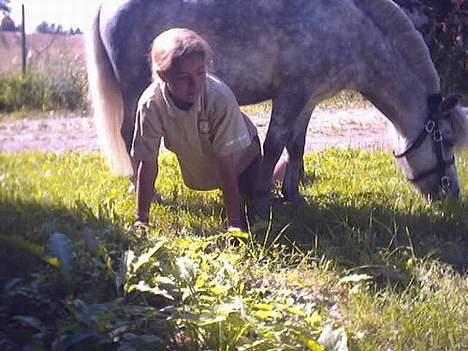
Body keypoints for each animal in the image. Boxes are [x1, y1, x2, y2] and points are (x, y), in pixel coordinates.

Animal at [87, 0, 468, 204]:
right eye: (447, 139)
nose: (452, 194)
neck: (349, 31)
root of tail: (109, 6)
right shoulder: (290, 95)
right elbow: (273, 145)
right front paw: (261, 195)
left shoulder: (309, 99)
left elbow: (296, 147)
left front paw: (293, 195)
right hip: (135, 90)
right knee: (130, 137)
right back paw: (144, 190)